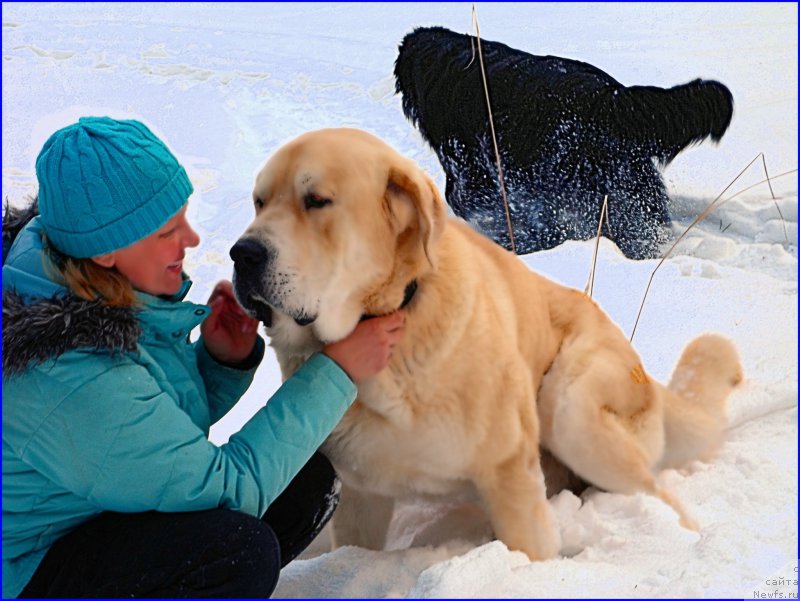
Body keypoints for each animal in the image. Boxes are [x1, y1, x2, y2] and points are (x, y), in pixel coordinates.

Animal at [231, 127, 744, 564]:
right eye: (259, 202)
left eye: (316, 201)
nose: (243, 254)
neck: (399, 317)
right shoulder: (361, 492)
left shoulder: (507, 473)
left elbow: (531, 549)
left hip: (570, 406)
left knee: (660, 496)